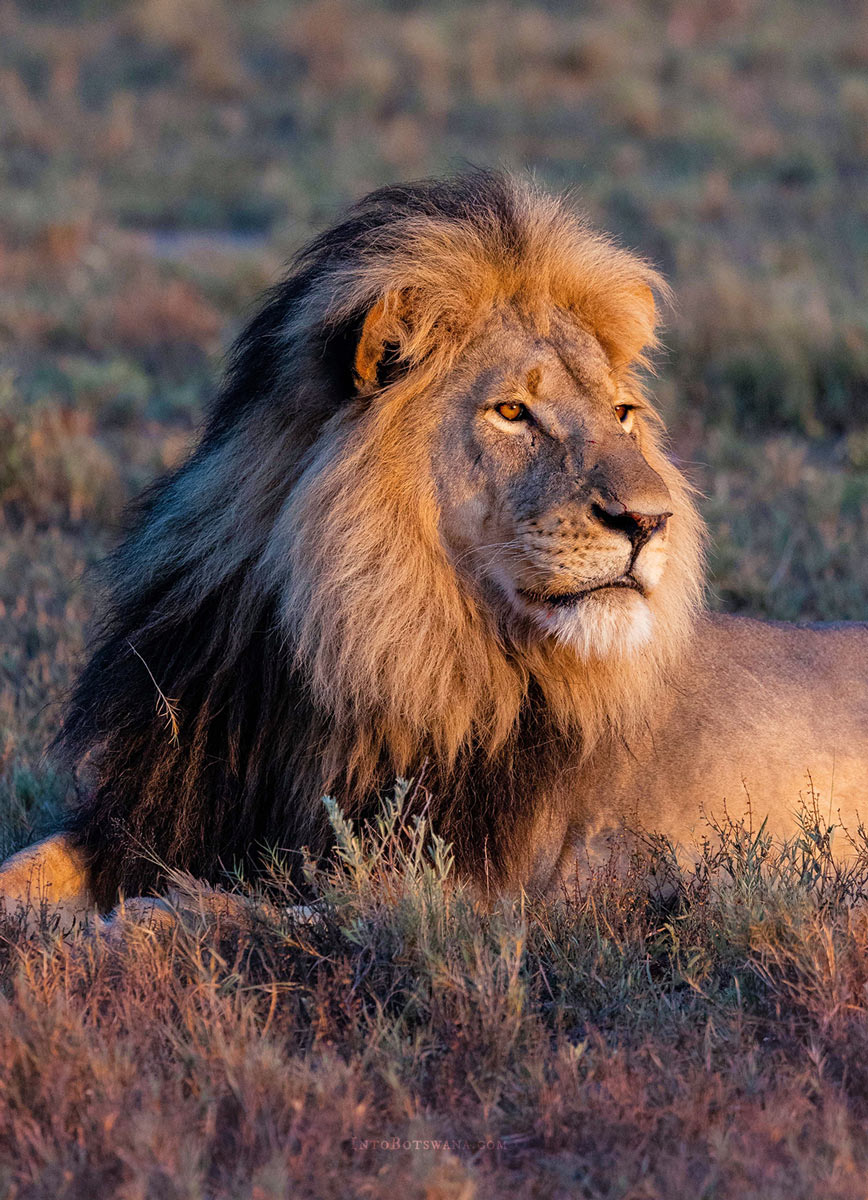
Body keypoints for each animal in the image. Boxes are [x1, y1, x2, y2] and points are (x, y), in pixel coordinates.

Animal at [2, 170, 868, 917]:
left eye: (623, 414)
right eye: (512, 412)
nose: (653, 522)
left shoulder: (455, 880)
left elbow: (240, 914)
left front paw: (137, 920)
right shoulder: (153, 812)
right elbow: (28, 864)